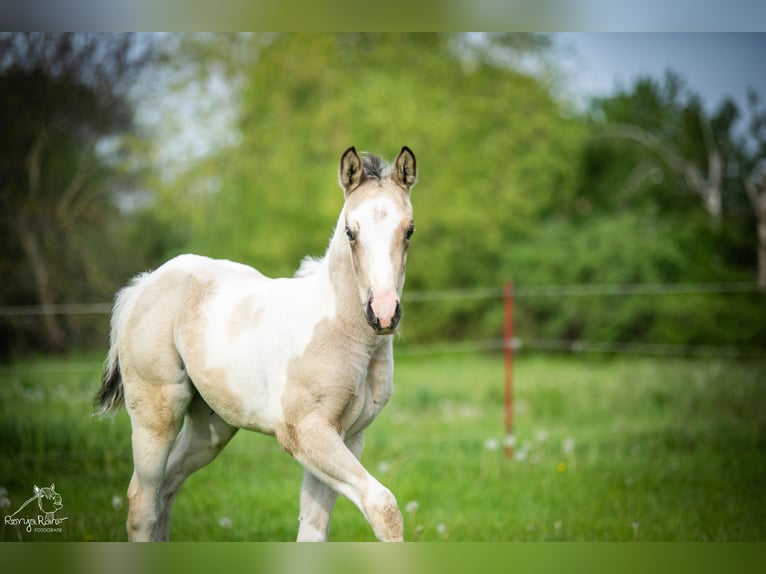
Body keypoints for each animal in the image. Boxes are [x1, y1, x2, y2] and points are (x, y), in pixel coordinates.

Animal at [95, 146, 417, 542]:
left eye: (409, 230)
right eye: (350, 232)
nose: (383, 314)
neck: (341, 333)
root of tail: (144, 284)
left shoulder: (349, 436)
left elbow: (313, 531)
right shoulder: (304, 431)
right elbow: (383, 507)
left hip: (211, 428)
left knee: (166, 490)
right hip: (156, 414)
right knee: (142, 502)